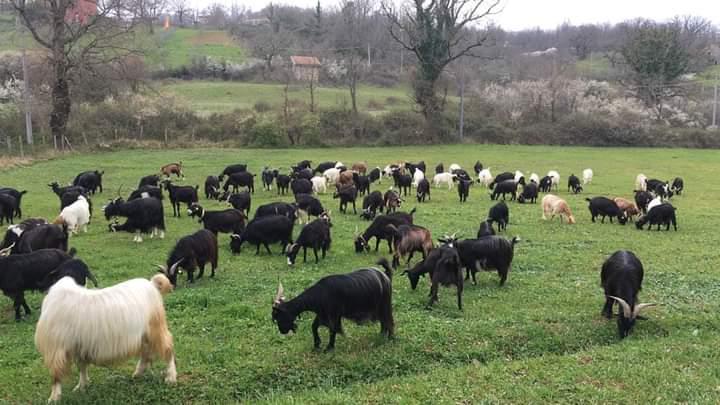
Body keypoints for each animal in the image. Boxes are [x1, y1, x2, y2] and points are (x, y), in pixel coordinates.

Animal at [35, 273, 175, 402]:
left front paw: (53, 398)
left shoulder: (55, 348)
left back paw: (171, 378)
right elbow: (82, 367)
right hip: (143, 336)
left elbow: (56, 376)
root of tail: (152, 284)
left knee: (167, 348)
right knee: (146, 354)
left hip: (156, 327)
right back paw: (137, 374)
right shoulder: (79, 346)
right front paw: (81, 387)